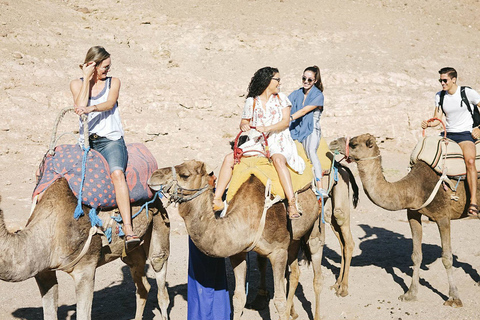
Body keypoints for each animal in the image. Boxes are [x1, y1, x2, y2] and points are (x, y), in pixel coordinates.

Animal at [0, 179, 171, 318]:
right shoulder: (43, 272)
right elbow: (49, 313)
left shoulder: (85, 269)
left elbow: (83, 314)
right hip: (130, 252)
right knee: (142, 284)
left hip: (159, 219)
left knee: (160, 275)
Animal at [147, 160, 326, 320]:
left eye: (185, 175)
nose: (154, 175)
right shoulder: (237, 253)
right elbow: (238, 298)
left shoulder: (278, 252)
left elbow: (279, 301)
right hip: (294, 239)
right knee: (295, 272)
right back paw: (292, 313)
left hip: (315, 225)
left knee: (317, 274)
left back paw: (316, 315)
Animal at [328, 133, 478, 308]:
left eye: (353, 144)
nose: (332, 142)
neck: (414, 188)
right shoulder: (413, 214)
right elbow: (416, 255)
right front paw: (410, 294)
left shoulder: (443, 217)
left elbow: (447, 258)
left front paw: (454, 298)